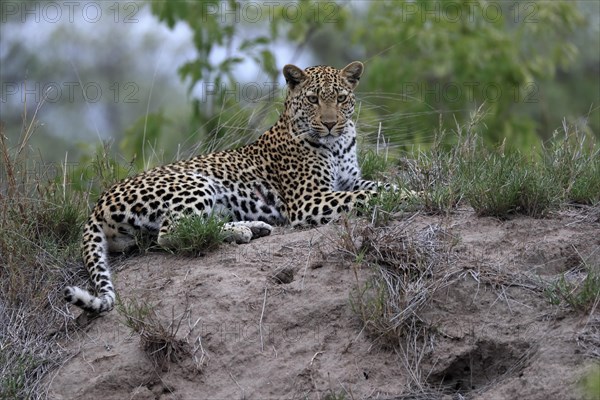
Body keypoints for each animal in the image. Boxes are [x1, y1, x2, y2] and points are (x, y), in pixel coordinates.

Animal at [64, 61, 404, 314]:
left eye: (341, 98)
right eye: (313, 99)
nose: (331, 123)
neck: (337, 144)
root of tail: (98, 203)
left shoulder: (349, 180)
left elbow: (382, 184)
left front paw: (409, 189)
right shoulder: (309, 200)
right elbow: (372, 194)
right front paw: (410, 197)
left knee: (181, 230)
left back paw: (252, 227)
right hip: (195, 181)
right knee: (174, 232)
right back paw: (242, 231)